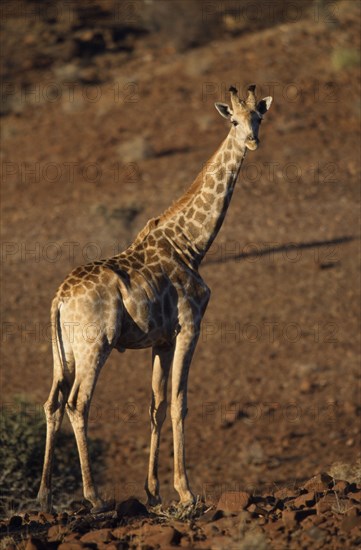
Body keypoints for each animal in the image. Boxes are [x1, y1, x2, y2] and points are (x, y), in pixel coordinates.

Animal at [38, 85, 270, 512]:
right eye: (233, 120)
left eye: (258, 117)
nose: (252, 140)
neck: (192, 245)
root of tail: (58, 299)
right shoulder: (190, 327)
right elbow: (179, 402)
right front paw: (185, 492)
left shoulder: (160, 339)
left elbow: (156, 406)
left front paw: (154, 492)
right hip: (95, 344)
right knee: (78, 403)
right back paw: (93, 496)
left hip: (63, 351)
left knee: (52, 403)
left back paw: (44, 496)